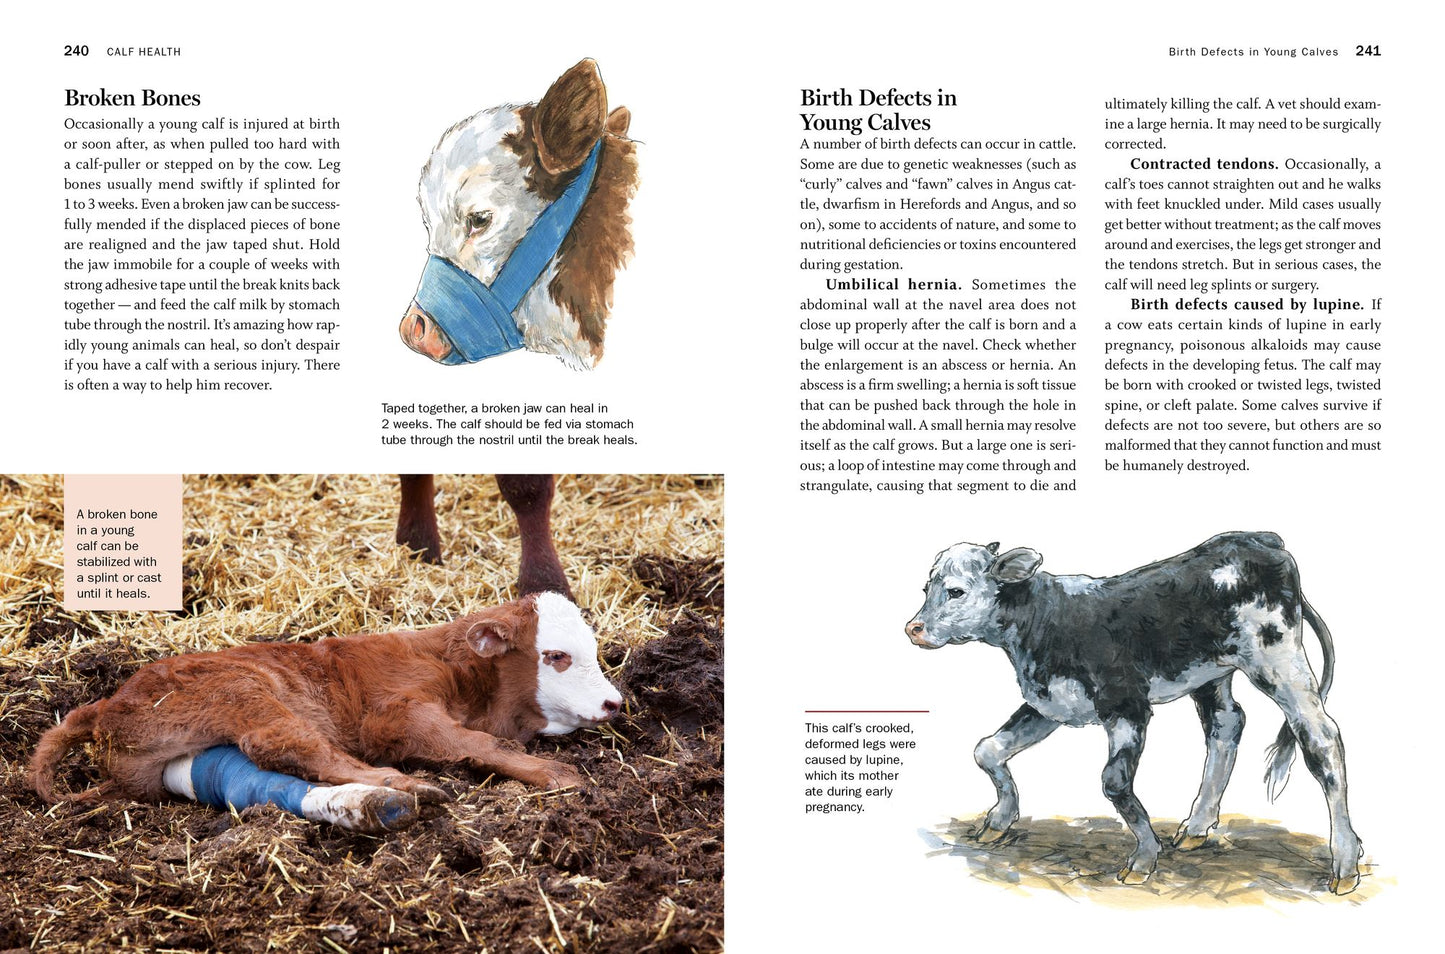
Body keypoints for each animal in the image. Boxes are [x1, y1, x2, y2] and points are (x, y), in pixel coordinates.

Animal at [29, 592, 623, 833]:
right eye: (556, 655)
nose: (615, 702)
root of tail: (106, 705)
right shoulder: (393, 713)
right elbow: (476, 744)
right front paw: (557, 775)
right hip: (246, 690)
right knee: (288, 745)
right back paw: (405, 786)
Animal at [904, 531, 1362, 894]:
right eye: (927, 588)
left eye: (956, 591)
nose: (913, 628)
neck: (1047, 618)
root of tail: (1261, 539)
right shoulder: (1049, 705)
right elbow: (988, 750)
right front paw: (998, 821)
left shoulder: (1126, 706)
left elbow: (1114, 782)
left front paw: (1143, 858)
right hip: (1212, 675)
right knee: (1227, 725)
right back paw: (1197, 827)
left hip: (1277, 659)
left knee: (1320, 737)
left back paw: (1344, 863)